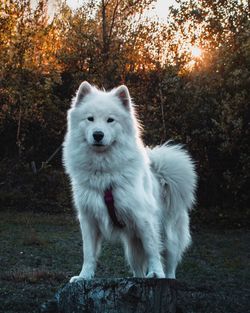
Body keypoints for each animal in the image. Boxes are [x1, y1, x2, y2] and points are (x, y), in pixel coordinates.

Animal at [63, 81, 197, 282]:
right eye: (90, 119)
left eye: (110, 120)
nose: (98, 134)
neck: (104, 173)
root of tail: (162, 177)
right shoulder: (88, 219)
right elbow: (89, 253)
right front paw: (84, 277)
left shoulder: (144, 218)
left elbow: (152, 250)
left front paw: (156, 273)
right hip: (132, 247)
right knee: (137, 269)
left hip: (170, 236)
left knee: (170, 262)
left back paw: (167, 278)